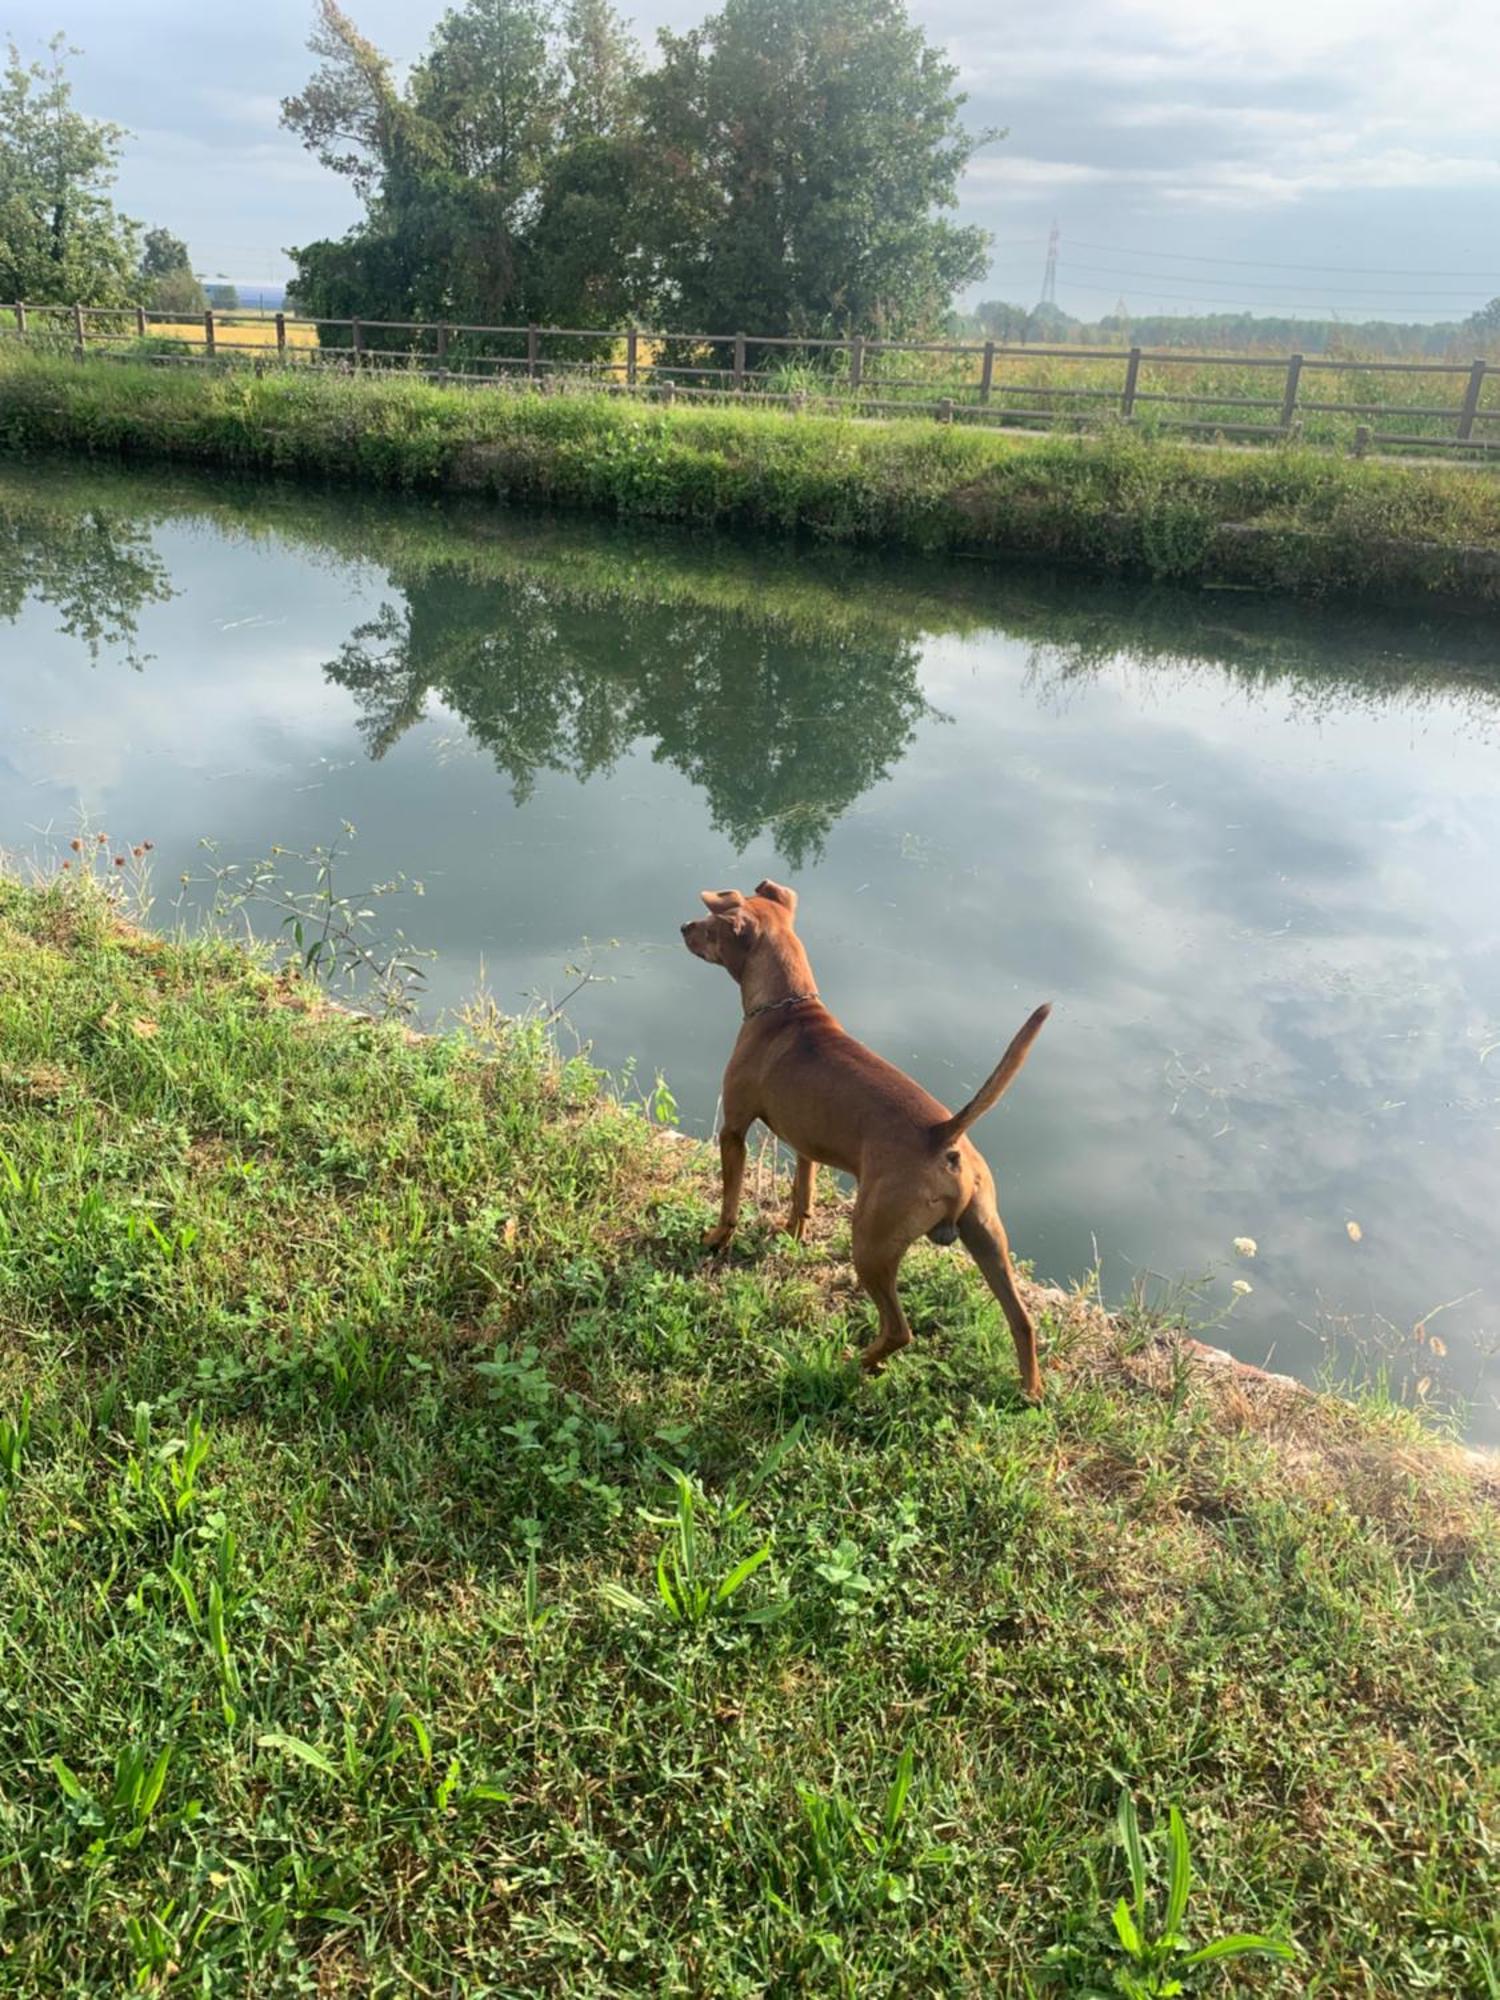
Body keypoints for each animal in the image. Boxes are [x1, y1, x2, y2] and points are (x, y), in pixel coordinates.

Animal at [688, 884, 1048, 1400]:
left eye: (710, 924)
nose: (682, 928)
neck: (786, 1005)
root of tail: (945, 1134)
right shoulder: (806, 1144)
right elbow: (802, 1194)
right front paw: (792, 1233)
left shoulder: (733, 1130)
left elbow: (730, 1201)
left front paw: (717, 1239)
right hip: (987, 1239)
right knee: (1022, 1321)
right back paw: (1030, 1391)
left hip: (871, 1243)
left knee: (899, 1329)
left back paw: (853, 1364)